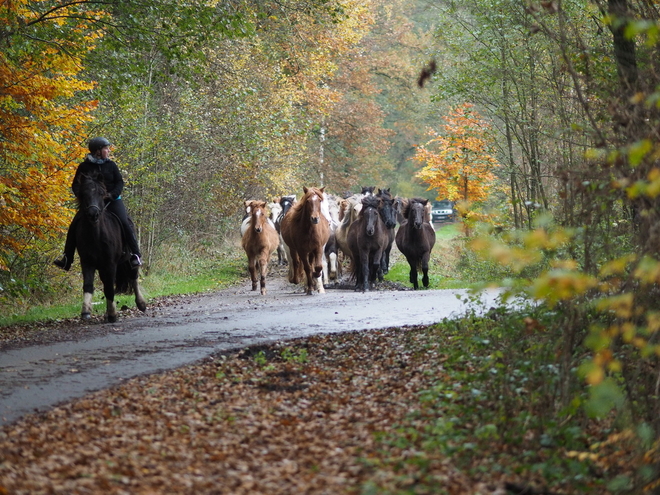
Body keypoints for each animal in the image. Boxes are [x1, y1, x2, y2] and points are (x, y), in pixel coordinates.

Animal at [75, 173, 147, 322]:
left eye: (101, 193)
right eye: (83, 193)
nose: (93, 214)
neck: (96, 235)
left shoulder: (110, 263)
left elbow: (109, 287)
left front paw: (113, 314)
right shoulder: (87, 262)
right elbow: (89, 285)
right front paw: (86, 312)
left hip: (128, 260)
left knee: (133, 277)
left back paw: (141, 304)